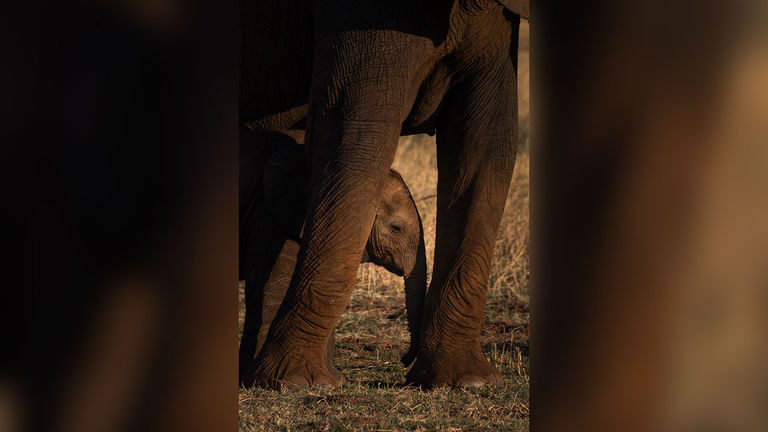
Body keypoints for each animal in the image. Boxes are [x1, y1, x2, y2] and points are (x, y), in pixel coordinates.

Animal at [238, 130, 427, 384]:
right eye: (396, 229)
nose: (403, 360)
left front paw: (331, 382)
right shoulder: (270, 217)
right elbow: (273, 284)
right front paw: (264, 381)